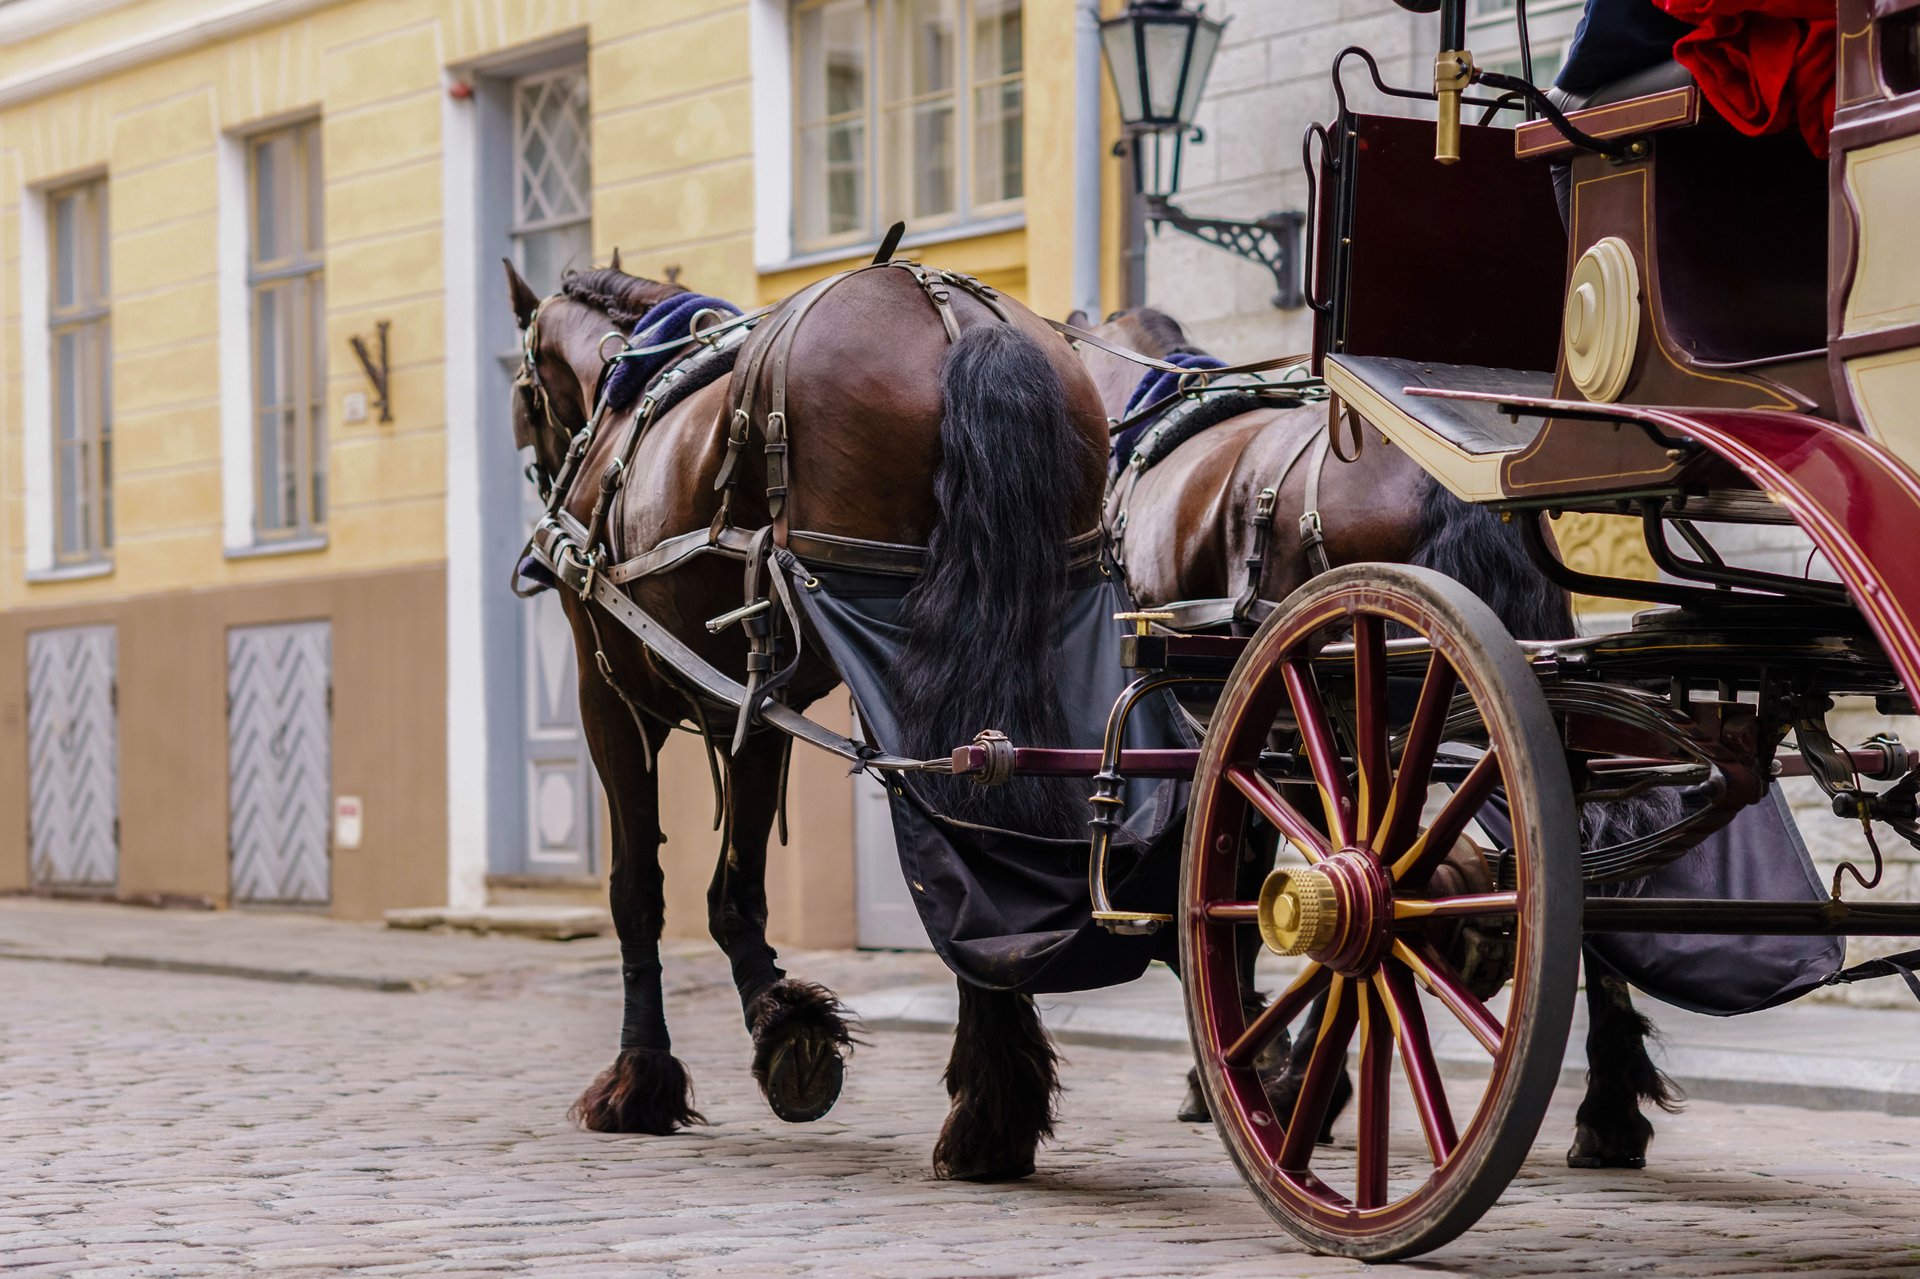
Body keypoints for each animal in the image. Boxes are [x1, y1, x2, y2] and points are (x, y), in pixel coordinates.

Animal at [504, 257, 1109, 1180]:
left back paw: (986, 1111)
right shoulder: (748, 696)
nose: (541, 552)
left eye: (522, 393)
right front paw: (784, 1020)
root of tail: (955, 316)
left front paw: (656, 1070)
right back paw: (997, 1108)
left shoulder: (613, 696)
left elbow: (647, 889)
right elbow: (731, 883)